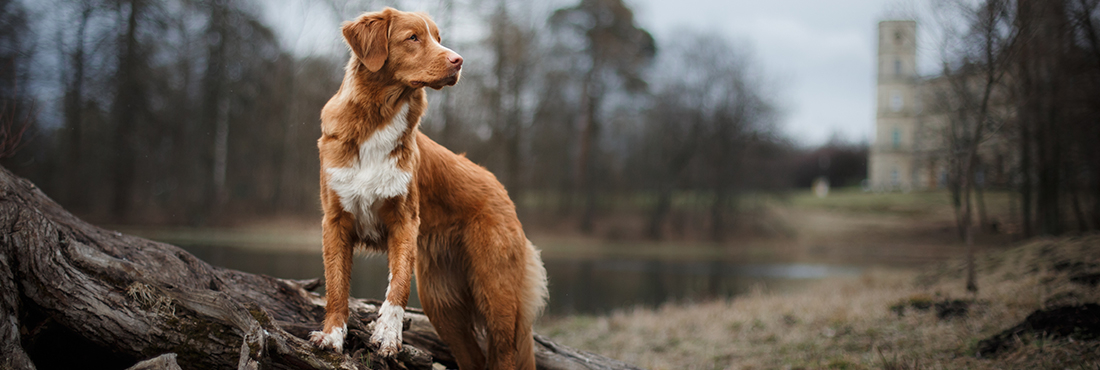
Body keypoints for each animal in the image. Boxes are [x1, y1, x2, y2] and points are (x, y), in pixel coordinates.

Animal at [310, 8, 550, 370]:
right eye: (413, 38)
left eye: (438, 37)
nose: (459, 60)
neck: (378, 120)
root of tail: (499, 187)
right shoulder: (335, 221)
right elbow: (336, 286)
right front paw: (332, 337)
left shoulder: (405, 221)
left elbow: (397, 286)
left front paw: (388, 335)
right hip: (442, 303)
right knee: (472, 357)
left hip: (496, 294)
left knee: (504, 351)